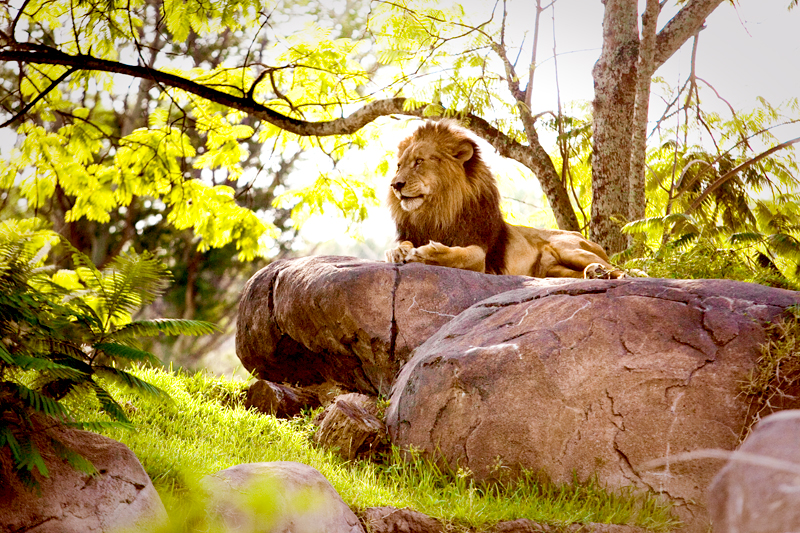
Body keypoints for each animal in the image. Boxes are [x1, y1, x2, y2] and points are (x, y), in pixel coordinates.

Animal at [382, 120, 624, 278]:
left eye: (419, 162)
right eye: (399, 166)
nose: (395, 185)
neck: (438, 211)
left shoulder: (482, 257)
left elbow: (461, 255)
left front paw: (429, 252)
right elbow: (399, 246)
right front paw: (398, 251)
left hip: (570, 248)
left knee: (624, 271)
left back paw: (604, 273)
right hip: (552, 270)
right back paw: (594, 273)